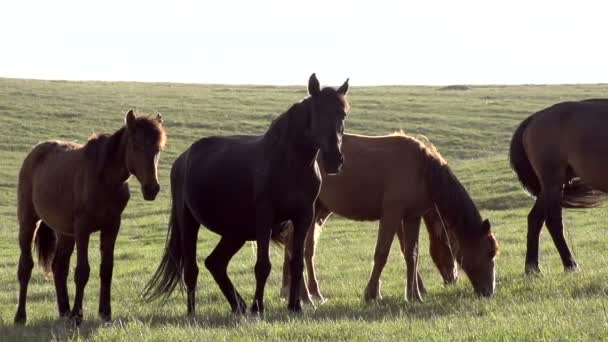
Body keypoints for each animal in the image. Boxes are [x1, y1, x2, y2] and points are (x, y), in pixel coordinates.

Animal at [13, 111, 166, 324]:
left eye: (157, 149)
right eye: (136, 145)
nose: (152, 189)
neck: (104, 180)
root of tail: (35, 151)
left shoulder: (111, 226)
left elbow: (106, 269)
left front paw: (105, 313)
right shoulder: (82, 228)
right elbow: (82, 271)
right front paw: (78, 315)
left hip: (65, 232)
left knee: (59, 267)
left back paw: (64, 311)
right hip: (29, 222)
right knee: (26, 267)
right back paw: (21, 316)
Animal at [142, 74, 350, 316]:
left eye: (342, 114)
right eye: (318, 113)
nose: (335, 159)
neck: (289, 164)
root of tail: (183, 159)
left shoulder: (303, 216)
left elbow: (297, 263)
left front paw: (295, 306)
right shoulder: (265, 216)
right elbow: (263, 266)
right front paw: (258, 307)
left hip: (235, 232)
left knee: (215, 263)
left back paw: (238, 306)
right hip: (189, 222)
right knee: (192, 270)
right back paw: (193, 313)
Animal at [282, 133, 496, 302]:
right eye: (489, 253)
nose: (489, 291)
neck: (422, 168)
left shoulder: (412, 217)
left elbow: (412, 254)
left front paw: (414, 296)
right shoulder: (392, 214)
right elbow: (382, 254)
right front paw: (371, 294)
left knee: (303, 249)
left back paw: (310, 294)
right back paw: (305, 296)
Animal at [508, 97, 608, 274]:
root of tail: (534, 118)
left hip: (550, 186)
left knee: (535, 219)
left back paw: (532, 269)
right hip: (552, 183)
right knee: (553, 222)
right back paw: (570, 265)